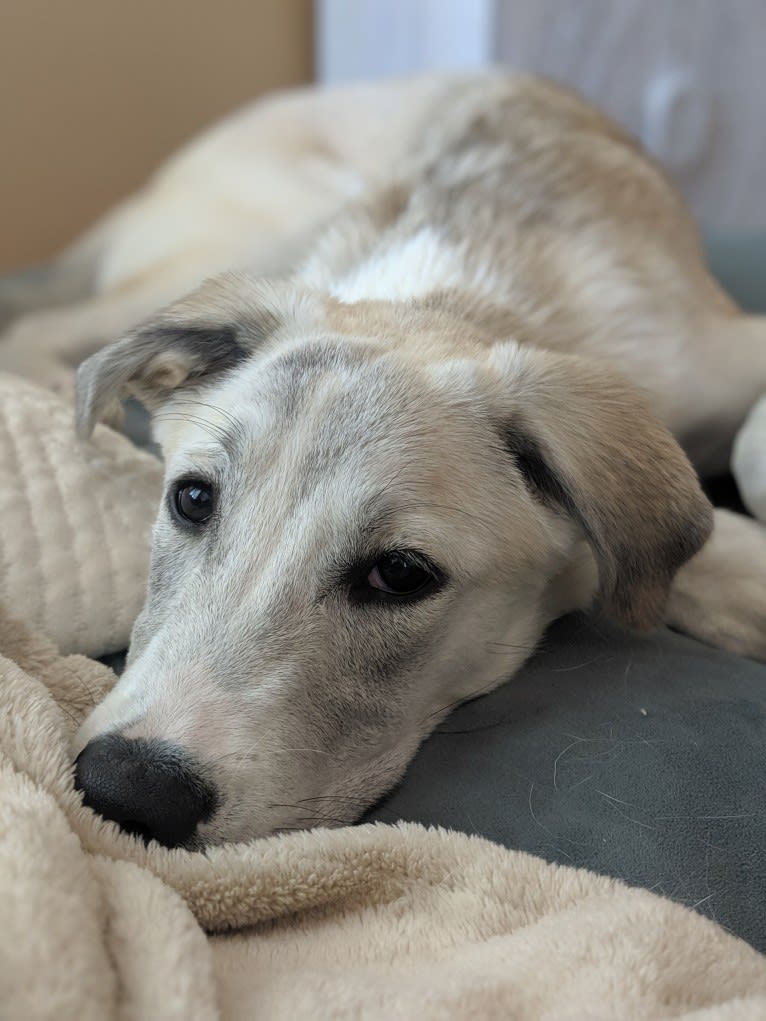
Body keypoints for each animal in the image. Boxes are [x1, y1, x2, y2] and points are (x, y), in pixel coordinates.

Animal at [4, 71, 763, 849]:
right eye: (192, 499)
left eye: (399, 574)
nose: (125, 792)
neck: (455, 298)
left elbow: (744, 452)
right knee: (41, 326)